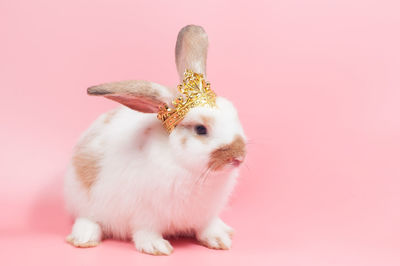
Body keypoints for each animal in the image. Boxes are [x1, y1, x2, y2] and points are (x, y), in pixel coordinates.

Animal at [65, 25, 247, 256]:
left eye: (234, 114)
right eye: (200, 129)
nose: (238, 157)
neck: (188, 168)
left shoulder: (206, 214)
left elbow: (207, 226)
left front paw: (220, 239)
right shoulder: (144, 213)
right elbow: (146, 231)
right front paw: (157, 247)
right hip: (84, 201)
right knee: (87, 219)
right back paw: (84, 238)